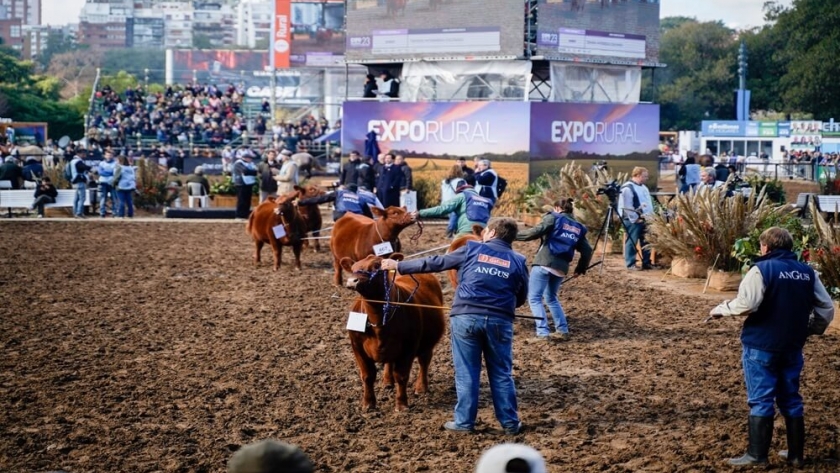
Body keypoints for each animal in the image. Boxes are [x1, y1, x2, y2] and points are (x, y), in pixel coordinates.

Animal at [342, 253, 446, 412]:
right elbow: (367, 375)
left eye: (377, 265)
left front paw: (401, 404)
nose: (352, 281)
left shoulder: (409, 347)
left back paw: (421, 387)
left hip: (428, 343)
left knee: (424, 362)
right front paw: (368, 403)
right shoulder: (357, 347)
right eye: (353, 268)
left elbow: (402, 376)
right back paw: (387, 382)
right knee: (390, 362)